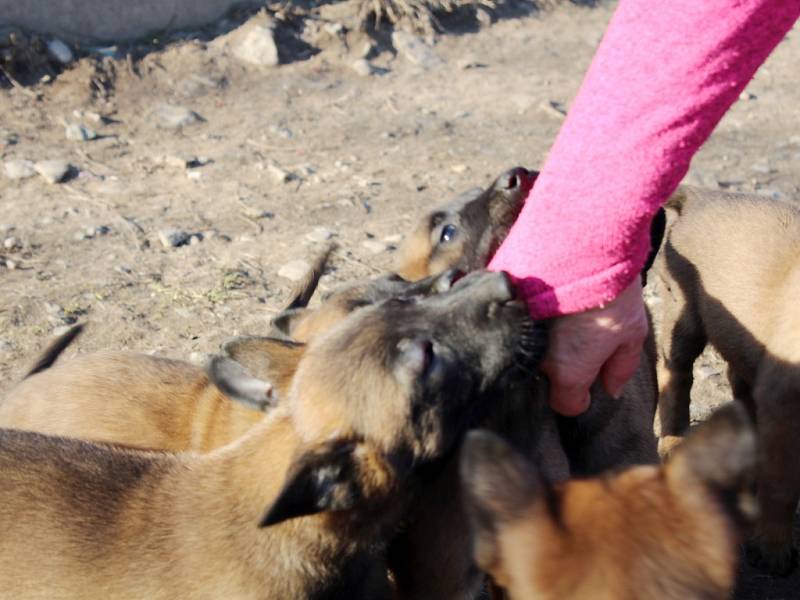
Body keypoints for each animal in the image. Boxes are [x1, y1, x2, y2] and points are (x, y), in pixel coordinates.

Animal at [652, 185, 800, 576]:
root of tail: (701, 196)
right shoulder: (783, 402)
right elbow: (781, 484)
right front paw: (774, 547)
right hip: (683, 315)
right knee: (675, 377)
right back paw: (673, 444)